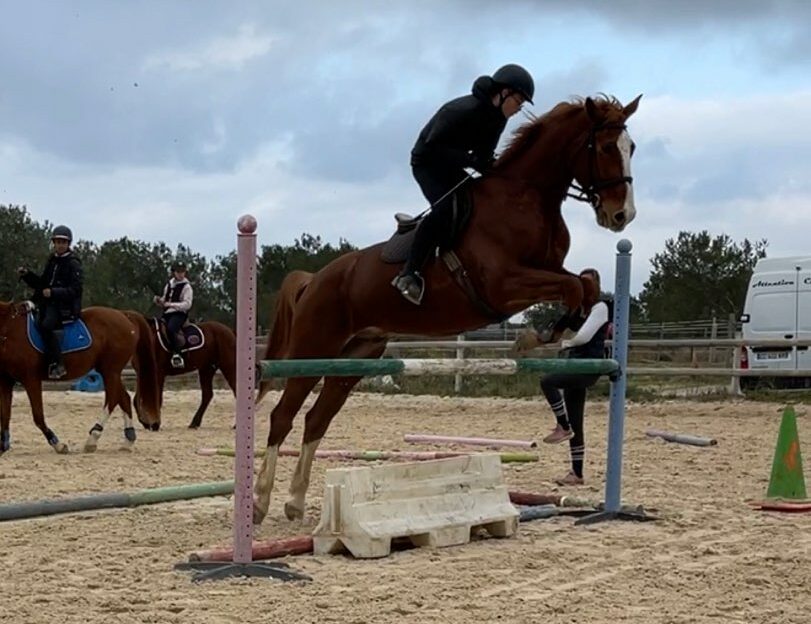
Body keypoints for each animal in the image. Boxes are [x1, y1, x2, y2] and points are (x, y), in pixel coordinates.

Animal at [0, 302, 162, 454]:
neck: (9, 328)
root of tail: (124, 314)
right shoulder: (6, 381)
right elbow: (5, 414)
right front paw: (3, 446)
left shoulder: (30, 379)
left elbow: (38, 416)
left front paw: (58, 445)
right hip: (111, 372)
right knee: (124, 398)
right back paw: (128, 440)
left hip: (110, 371)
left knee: (112, 399)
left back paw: (93, 438)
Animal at [251, 94, 644, 520]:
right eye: (605, 148)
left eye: (632, 148)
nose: (622, 216)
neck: (527, 197)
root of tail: (315, 279)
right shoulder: (503, 283)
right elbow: (573, 286)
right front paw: (535, 337)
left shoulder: (544, 272)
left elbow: (584, 286)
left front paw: (545, 333)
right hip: (313, 348)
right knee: (282, 416)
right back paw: (259, 502)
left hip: (353, 358)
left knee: (315, 419)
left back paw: (294, 501)